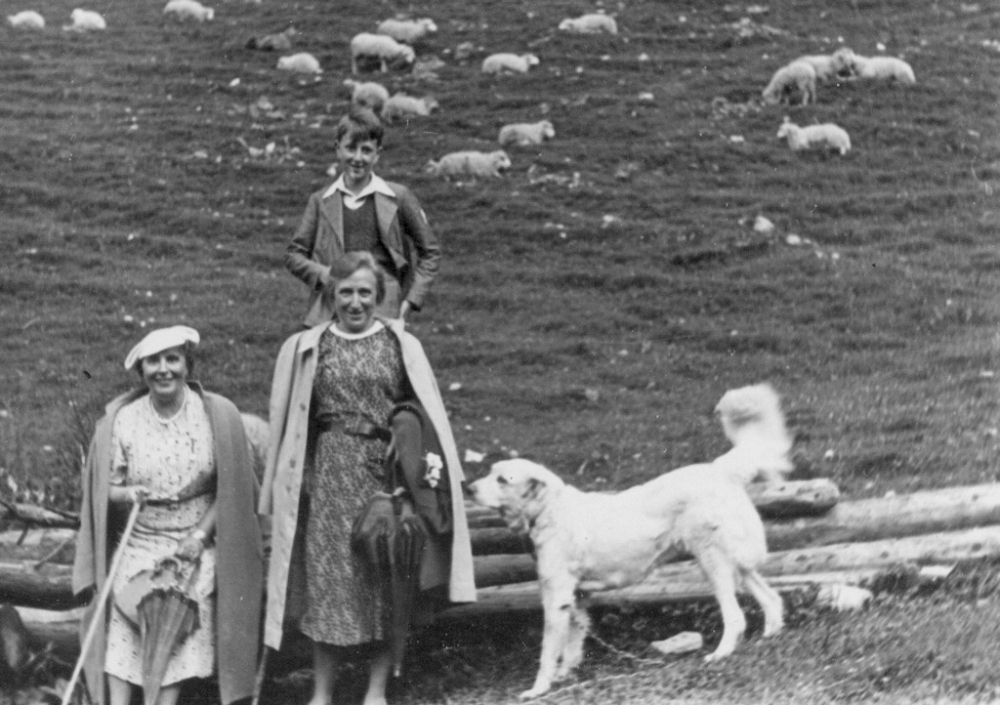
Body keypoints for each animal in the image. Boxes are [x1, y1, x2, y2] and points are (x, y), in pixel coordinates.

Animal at [468, 384, 788, 700]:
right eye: (490, 473)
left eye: (502, 480)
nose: (467, 488)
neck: (549, 509)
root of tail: (719, 469)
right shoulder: (576, 598)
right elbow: (572, 645)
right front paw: (565, 675)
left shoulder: (556, 597)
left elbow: (548, 651)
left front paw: (538, 688)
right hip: (737, 559)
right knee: (771, 598)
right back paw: (769, 635)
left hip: (713, 562)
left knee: (735, 617)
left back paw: (720, 654)